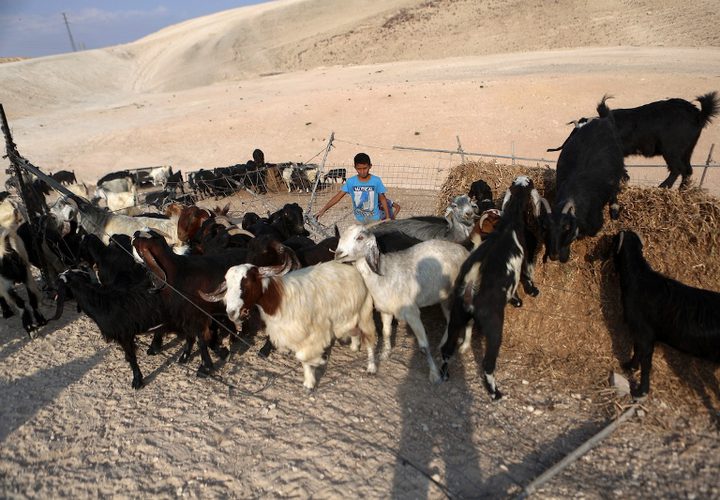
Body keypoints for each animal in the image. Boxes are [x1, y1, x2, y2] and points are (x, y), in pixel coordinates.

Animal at [334, 224, 470, 382]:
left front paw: (434, 374)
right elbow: (386, 332)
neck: (384, 274)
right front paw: (385, 354)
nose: (338, 254)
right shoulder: (386, 310)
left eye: (360, 237)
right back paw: (444, 343)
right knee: (449, 320)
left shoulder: (412, 313)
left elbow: (424, 347)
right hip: (445, 297)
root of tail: (464, 250)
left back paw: (465, 346)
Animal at [438, 176, 540, 398]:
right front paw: (530, 292)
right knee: (487, 363)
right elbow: (526, 273)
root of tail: (471, 286)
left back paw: (444, 374)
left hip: (457, 317)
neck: (509, 223)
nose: (528, 179)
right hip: (494, 327)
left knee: (447, 349)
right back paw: (495, 392)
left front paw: (517, 299)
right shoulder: (524, 259)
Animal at [540, 110, 624, 264]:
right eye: (545, 227)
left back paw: (614, 209)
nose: (554, 256)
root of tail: (602, 120)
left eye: (566, 227)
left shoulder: (595, 223)